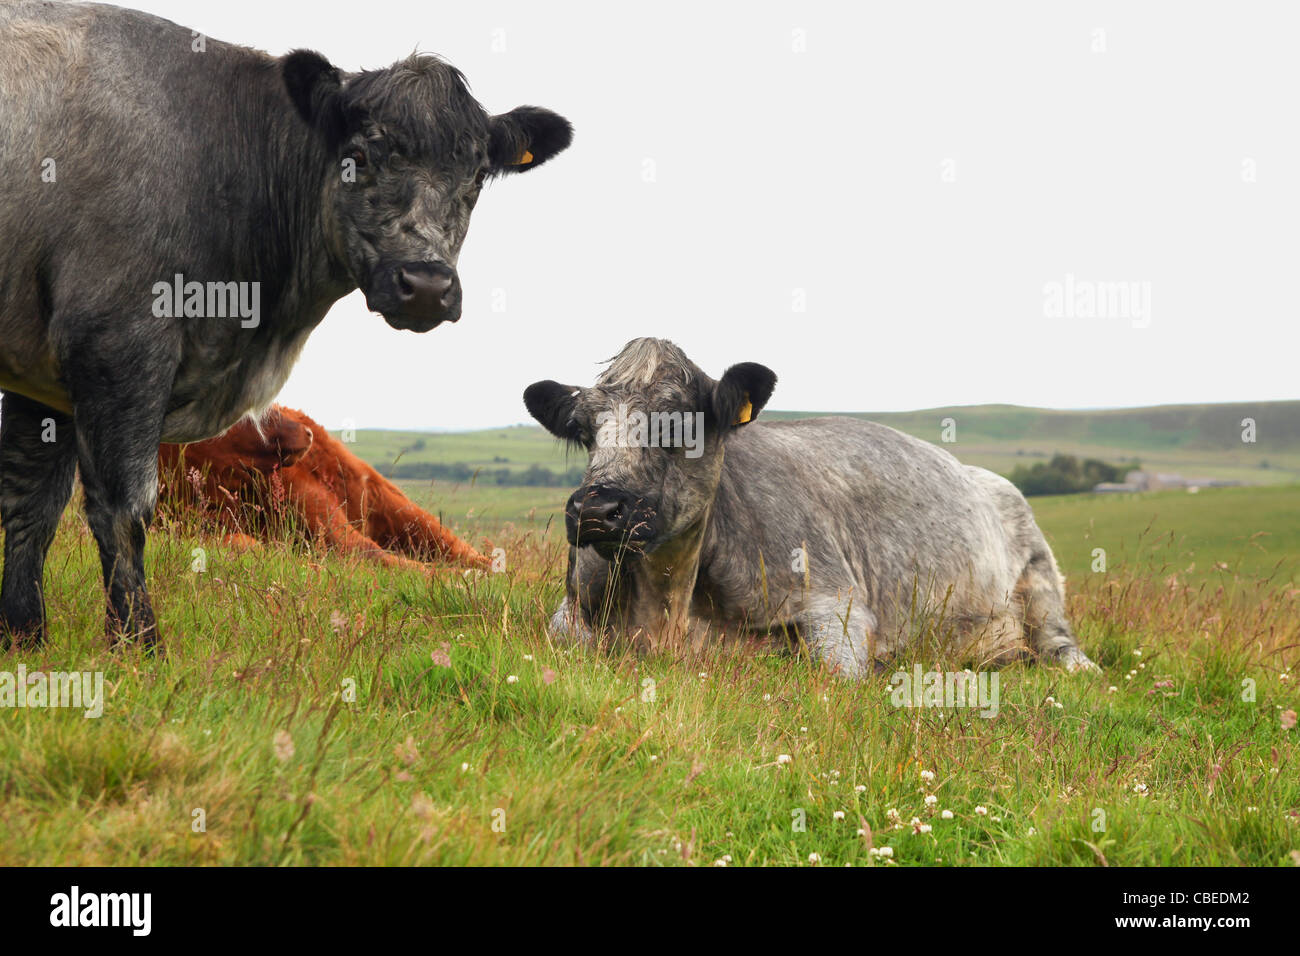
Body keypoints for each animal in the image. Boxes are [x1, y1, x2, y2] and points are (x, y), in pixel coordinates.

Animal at [523, 338, 1098, 678]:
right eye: (583, 431)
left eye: (680, 425)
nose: (596, 508)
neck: (667, 603)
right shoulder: (572, 608)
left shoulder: (835, 602)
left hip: (1041, 580)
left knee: (1061, 645)